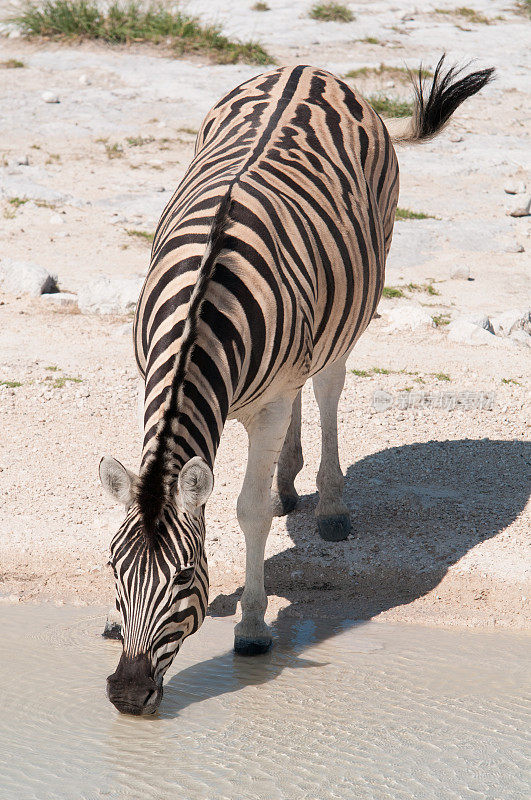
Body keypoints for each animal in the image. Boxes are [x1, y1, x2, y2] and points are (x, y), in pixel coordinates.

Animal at [98, 59, 494, 716]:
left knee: (328, 384)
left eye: (182, 578)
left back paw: (329, 504)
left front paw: (253, 626)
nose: (128, 695)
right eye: (115, 569)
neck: (203, 310)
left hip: (356, 299)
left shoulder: (269, 404)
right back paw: (290, 484)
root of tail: (308, 68)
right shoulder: (148, 381)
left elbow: (249, 510)